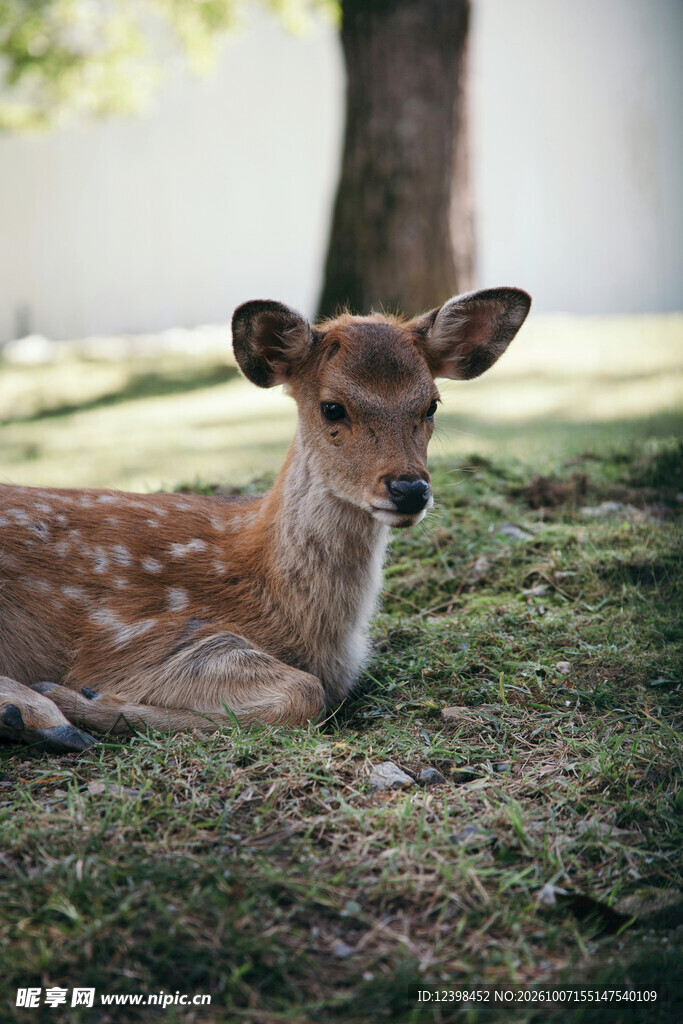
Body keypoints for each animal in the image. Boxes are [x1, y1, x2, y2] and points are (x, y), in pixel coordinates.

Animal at [0, 288, 530, 753]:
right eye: (332, 407)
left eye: (431, 404)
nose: (409, 489)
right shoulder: (132, 639)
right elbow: (304, 692)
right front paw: (79, 697)